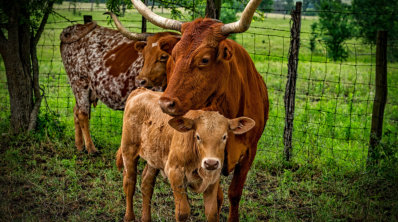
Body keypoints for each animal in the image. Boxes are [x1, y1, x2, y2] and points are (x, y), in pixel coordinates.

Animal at [116, 88, 253, 222]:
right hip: (129, 150)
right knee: (129, 183)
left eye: (224, 136)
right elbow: (182, 213)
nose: (211, 163)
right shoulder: (175, 173)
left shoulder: (213, 178)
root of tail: (141, 90)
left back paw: (146, 218)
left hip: (153, 158)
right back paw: (129, 217)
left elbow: (212, 213)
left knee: (147, 184)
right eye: (197, 136)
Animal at [129, 0, 268, 220]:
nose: (165, 103)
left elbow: (234, 194)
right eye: (173, 56)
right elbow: (217, 197)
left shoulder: (249, 152)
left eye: (204, 59)